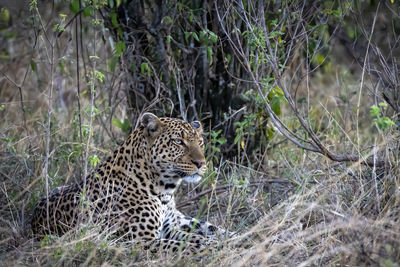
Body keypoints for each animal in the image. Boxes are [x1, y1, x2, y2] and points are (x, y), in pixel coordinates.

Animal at [31, 113, 231, 258]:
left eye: (200, 142)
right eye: (178, 142)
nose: (201, 163)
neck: (164, 189)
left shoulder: (171, 229)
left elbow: (196, 239)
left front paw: (225, 244)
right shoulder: (140, 241)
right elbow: (188, 245)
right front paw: (217, 249)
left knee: (215, 229)